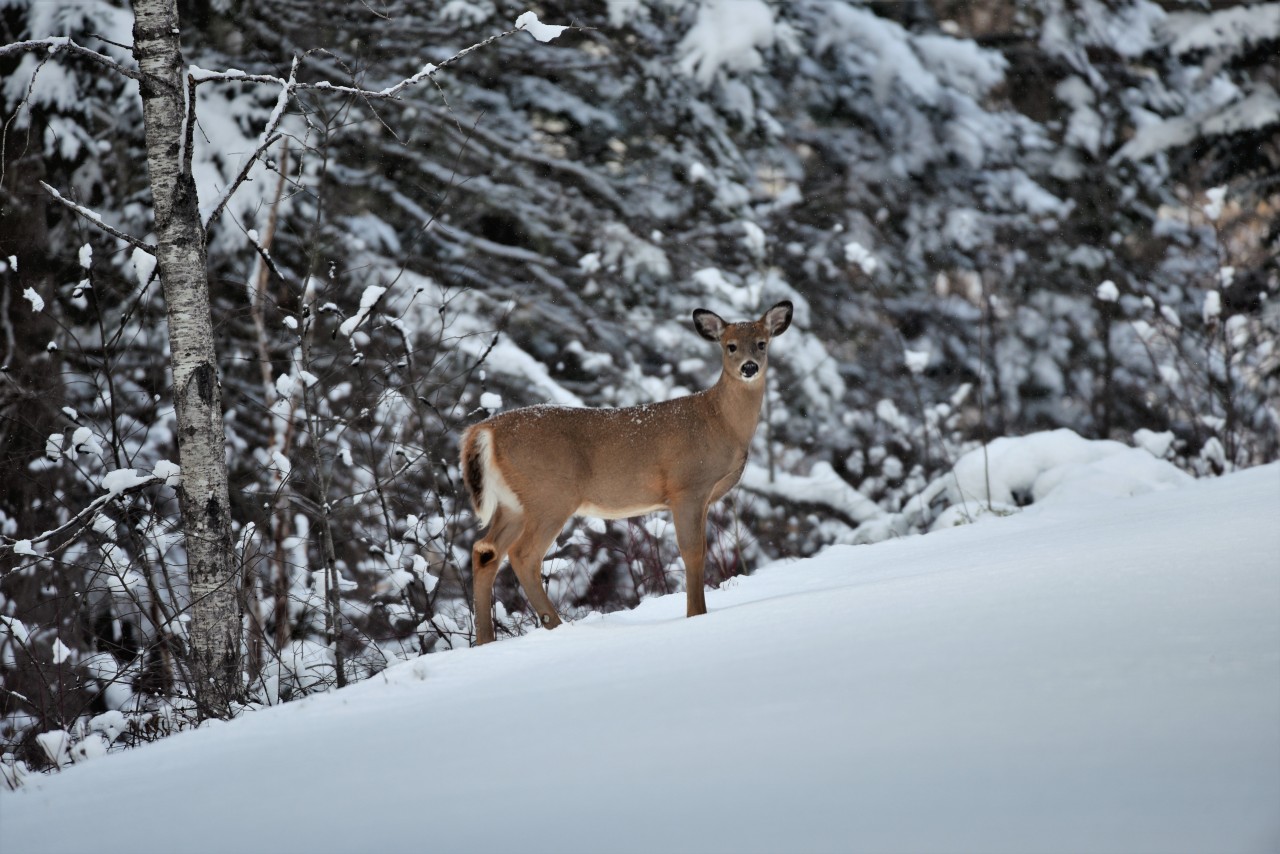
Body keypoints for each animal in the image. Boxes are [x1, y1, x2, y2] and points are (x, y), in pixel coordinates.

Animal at [460, 300, 788, 640]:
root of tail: (484, 430)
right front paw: (696, 615)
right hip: (550, 495)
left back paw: (485, 640)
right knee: (523, 555)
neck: (720, 422)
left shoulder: (703, 497)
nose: (749, 367)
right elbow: (692, 551)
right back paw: (558, 626)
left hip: (513, 503)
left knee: (484, 551)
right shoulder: (688, 487)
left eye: (762, 343)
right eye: (730, 346)